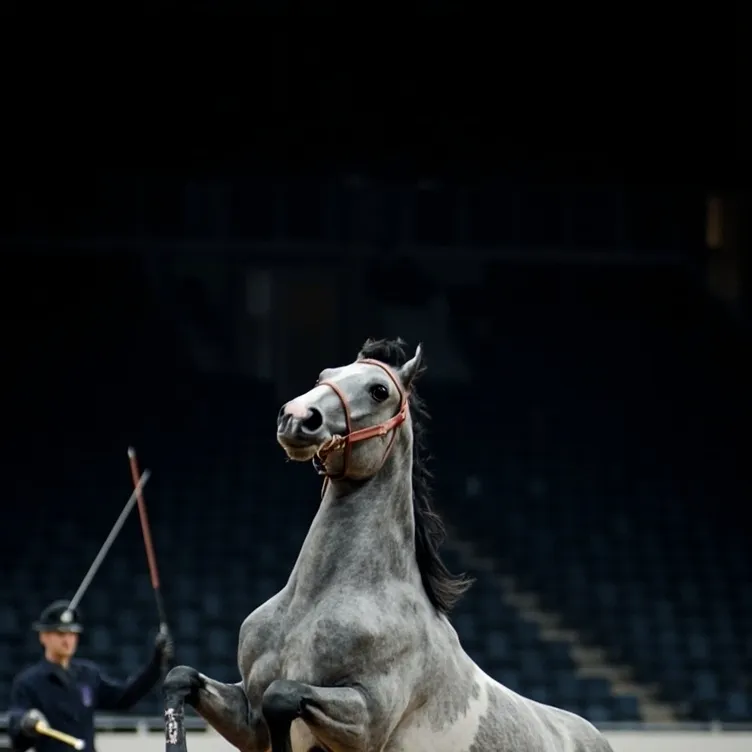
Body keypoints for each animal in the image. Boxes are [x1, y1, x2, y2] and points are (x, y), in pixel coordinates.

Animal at [163, 337, 613, 752]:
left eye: (379, 390)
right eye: (324, 375)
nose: (297, 418)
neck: (314, 602)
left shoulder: (366, 720)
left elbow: (283, 695)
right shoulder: (247, 714)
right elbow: (180, 677)